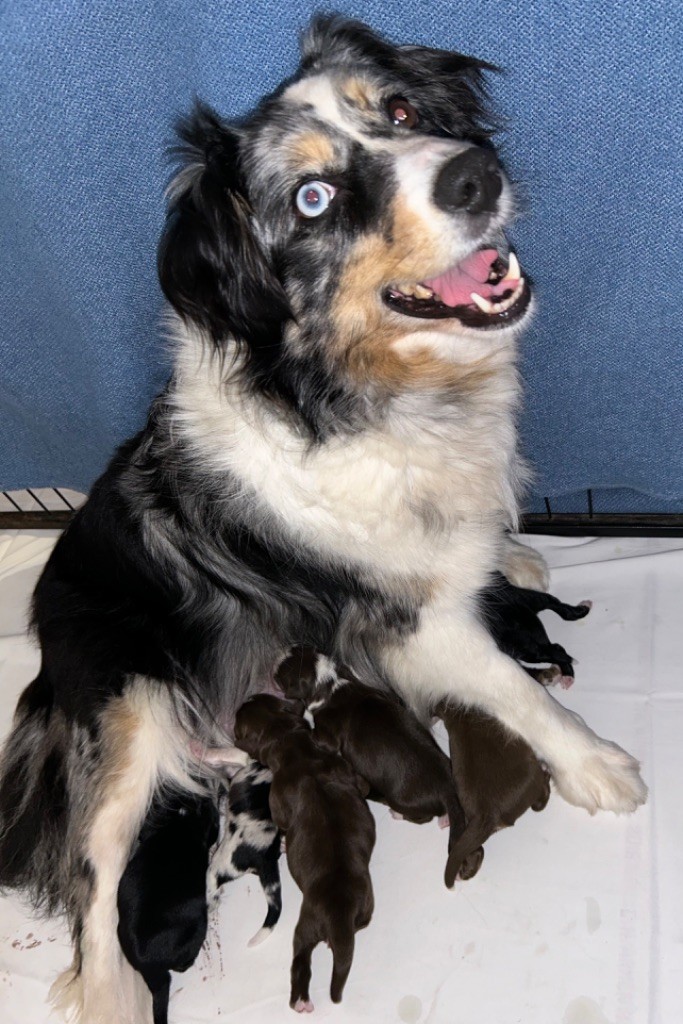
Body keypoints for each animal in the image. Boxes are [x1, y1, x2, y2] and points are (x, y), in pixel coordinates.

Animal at [233, 692, 374, 1011]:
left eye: (236, 724)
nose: (243, 699)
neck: (291, 741)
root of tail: (339, 912)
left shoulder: (277, 802)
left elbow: (282, 822)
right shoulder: (351, 774)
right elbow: (363, 785)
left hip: (305, 925)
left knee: (301, 959)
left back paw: (300, 1000)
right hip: (366, 907)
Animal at [274, 647, 466, 880]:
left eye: (281, 673)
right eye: (297, 649)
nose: (276, 657)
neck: (329, 684)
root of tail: (447, 788)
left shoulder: (327, 734)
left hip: (402, 799)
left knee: (422, 817)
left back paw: (399, 813)